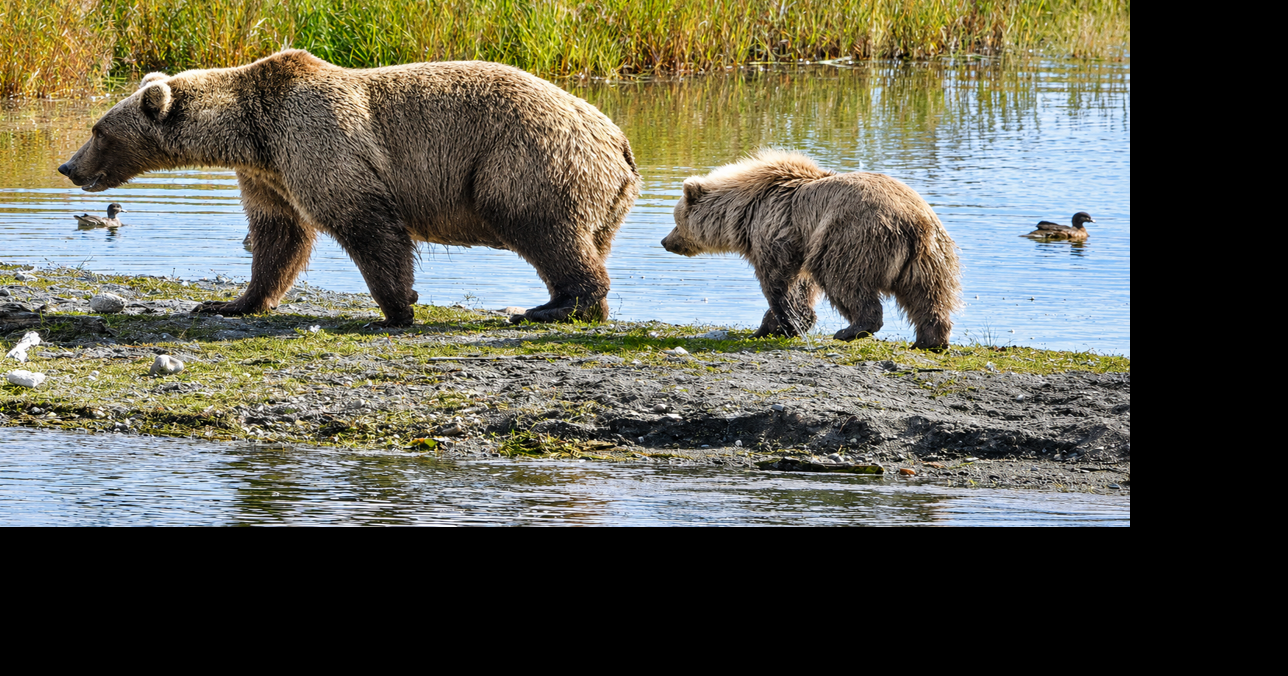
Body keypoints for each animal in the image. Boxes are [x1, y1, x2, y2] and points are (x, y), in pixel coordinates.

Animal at [57, 50, 640, 327]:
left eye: (98, 130)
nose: (67, 167)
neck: (251, 134)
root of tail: (620, 141)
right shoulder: (271, 174)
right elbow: (278, 238)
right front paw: (230, 302)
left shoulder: (320, 139)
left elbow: (365, 221)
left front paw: (398, 306)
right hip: (598, 193)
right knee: (584, 239)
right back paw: (575, 307)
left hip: (526, 159)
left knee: (540, 227)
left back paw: (551, 306)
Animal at [661, 149, 961, 349]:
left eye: (676, 220)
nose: (665, 241)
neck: (746, 211)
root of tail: (913, 221)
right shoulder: (802, 241)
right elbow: (802, 285)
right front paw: (768, 326)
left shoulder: (778, 230)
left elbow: (780, 281)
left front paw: (789, 323)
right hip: (929, 255)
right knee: (929, 294)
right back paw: (930, 340)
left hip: (854, 237)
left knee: (844, 281)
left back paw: (852, 329)